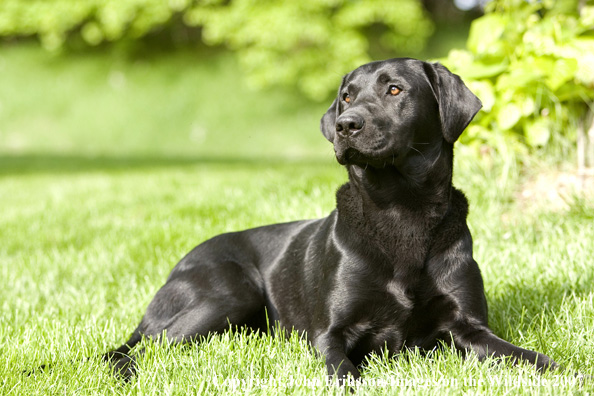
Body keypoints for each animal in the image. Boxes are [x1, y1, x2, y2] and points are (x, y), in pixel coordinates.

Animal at [105, 58, 556, 380]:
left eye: (395, 89)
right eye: (346, 97)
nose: (345, 125)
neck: (401, 209)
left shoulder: (469, 326)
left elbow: (519, 354)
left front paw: (556, 367)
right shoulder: (329, 333)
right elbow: (344, 371)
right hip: (230, 291)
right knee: (135, 348)